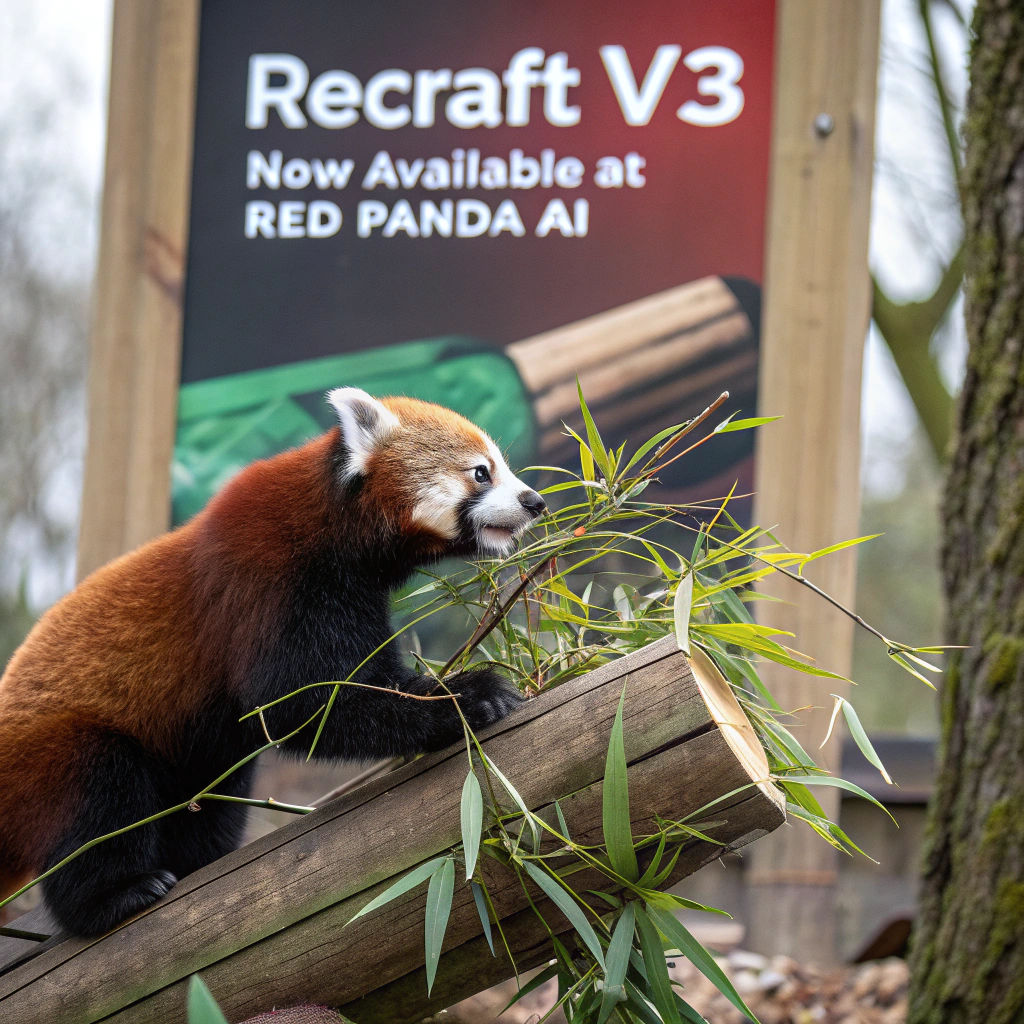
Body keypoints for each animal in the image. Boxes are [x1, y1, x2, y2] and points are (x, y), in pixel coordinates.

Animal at [0, 389, 545, 937]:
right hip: (54, 754)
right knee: (100, 798)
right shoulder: (273, 579)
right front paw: (469, 697)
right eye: (481, 473)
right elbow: (305, 704)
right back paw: (117, 895)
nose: (535, 502)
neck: (334, 522)